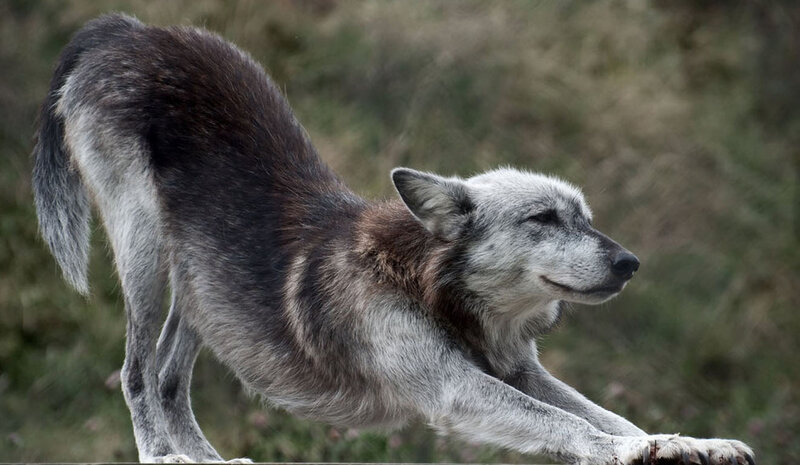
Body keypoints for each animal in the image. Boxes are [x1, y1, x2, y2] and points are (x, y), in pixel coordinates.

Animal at [33, 14, 754, 465]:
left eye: (584, 216)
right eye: (544, 219)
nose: (631, 263)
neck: (432, 289)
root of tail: (132, 30)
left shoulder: (522, 371)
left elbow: (607, 413)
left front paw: (685, 443)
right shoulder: (456, 389)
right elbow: (572, 424)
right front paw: (630, 450)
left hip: (200, 285)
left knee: (167, 380)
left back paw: (211, 460)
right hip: (146, 254)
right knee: (135, 373)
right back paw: (162, 455)